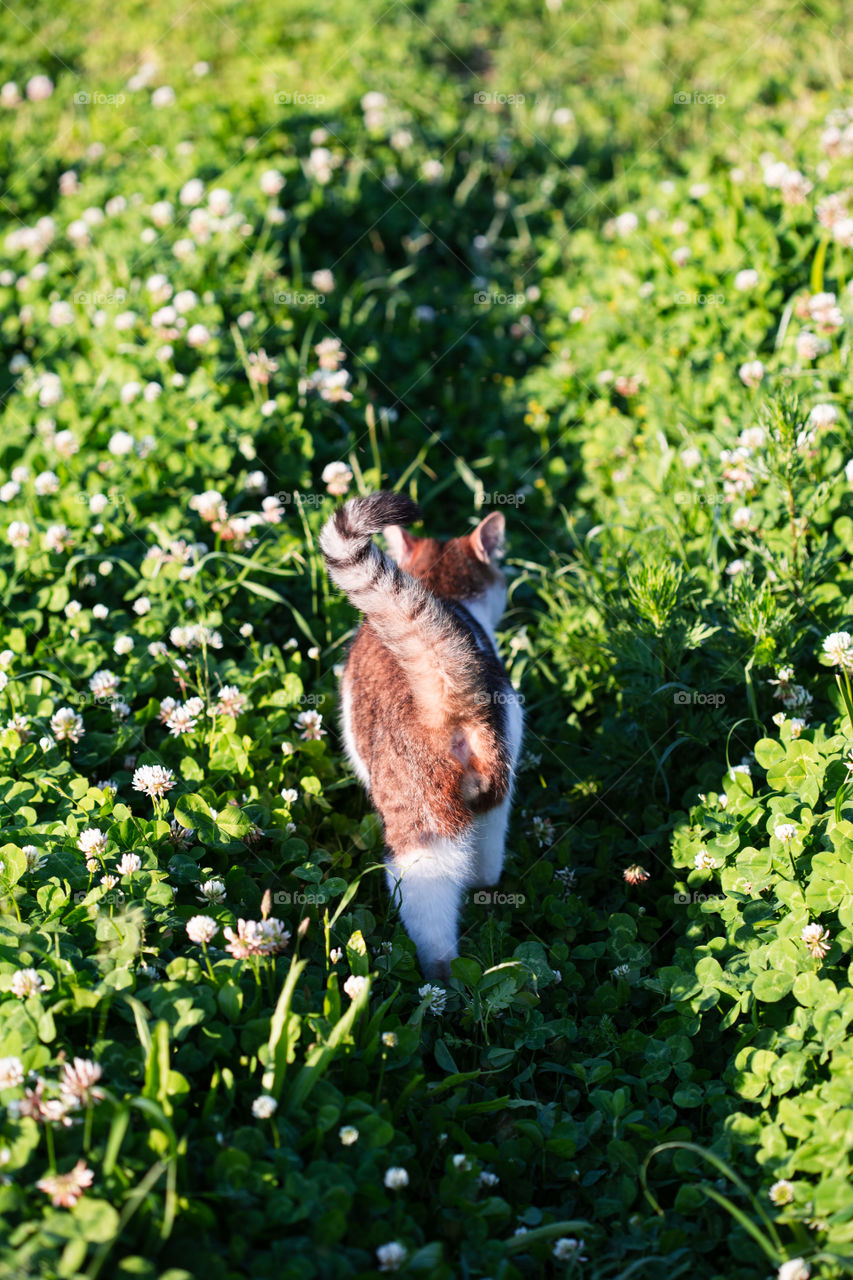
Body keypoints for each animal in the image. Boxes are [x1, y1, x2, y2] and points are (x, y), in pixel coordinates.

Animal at [317, 491, 522, 977]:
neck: (436, 589)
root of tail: (444, 697)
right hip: (496, 796)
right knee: (485, 868)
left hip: (419, 830)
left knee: (430, 914)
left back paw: (437, 980)